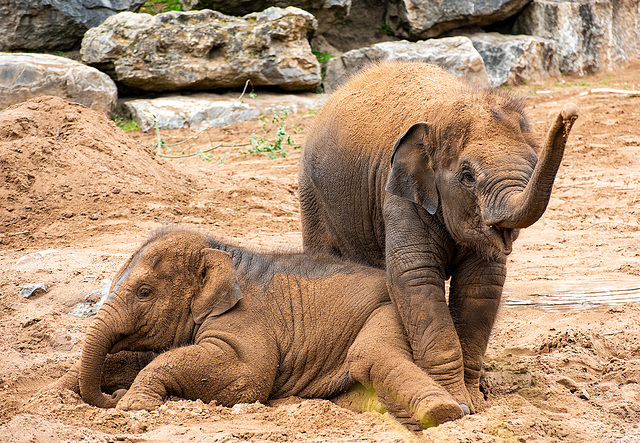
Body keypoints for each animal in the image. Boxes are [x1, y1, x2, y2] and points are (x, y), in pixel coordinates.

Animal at [55, 229, 470, 426]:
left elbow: (245, 375)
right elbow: (142, 356)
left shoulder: (245, 318)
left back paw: (445, 413)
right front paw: (61, 389)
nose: (110, 396)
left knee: (369, 355)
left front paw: (132, 404)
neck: (222, 249)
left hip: (390, 314)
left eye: (144, 292)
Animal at [300, 60, 580, 412]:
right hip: (312, 194)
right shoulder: (399, 195)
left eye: (532, 165)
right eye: (468, 176)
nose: (569, 112)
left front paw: (477, 404)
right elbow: (416, 277)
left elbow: (482, 283)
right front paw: (457, 405)